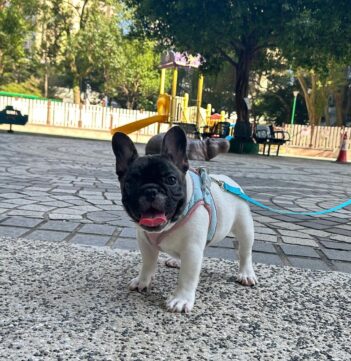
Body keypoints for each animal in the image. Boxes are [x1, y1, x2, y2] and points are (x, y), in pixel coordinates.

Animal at [111, 125, 258, 310]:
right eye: (130, 183)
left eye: (171, 180)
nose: (150, 190)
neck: (170, 224)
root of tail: (229, 181)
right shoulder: (146, 244)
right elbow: (148, 264)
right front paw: (142, 281)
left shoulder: (192, 250)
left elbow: (187, 276)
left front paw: (181, 299)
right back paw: (175, 261)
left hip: (244, 228)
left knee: (245, 252)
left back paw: (246, 274)